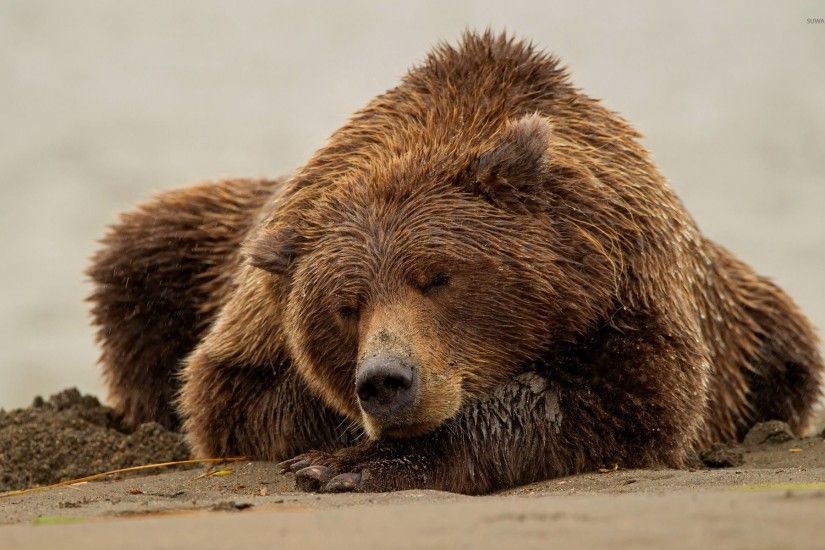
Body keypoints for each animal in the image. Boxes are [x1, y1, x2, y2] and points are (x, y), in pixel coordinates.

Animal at [87, 31, 820, 496]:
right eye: (345, 306)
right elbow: (232, 396)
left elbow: (618, 400)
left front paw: (353, 465)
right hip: (189, 241)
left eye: (437, 277)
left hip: (764, 331)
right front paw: (340, 450)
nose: (386, 381)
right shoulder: (257, 317)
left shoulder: (632, 288)